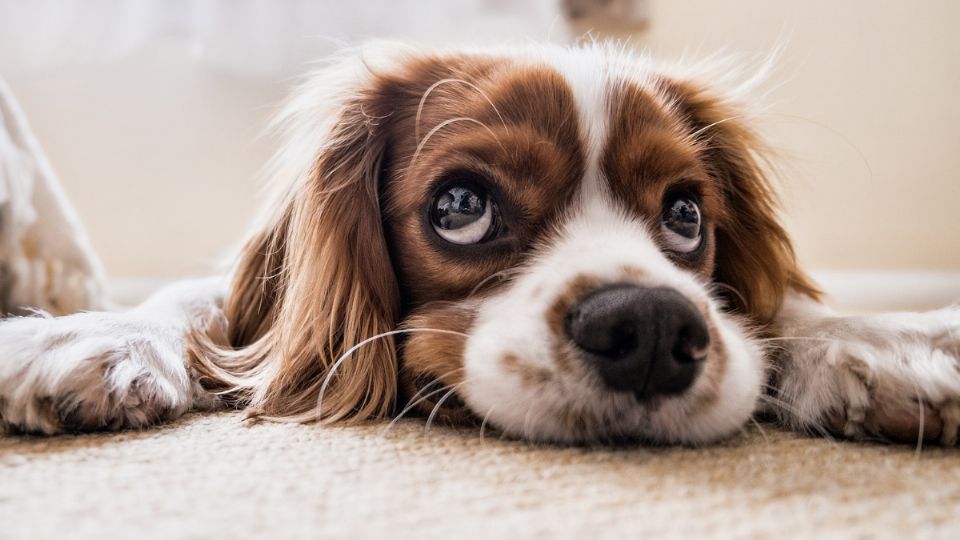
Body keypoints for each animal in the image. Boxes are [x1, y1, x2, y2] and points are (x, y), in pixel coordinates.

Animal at [1, 42, 960, 446]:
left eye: (688, 215)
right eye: (460, 206)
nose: (651, 329)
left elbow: (781, 309)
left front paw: (882, 342)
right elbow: (197, 303)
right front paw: (90, 336)